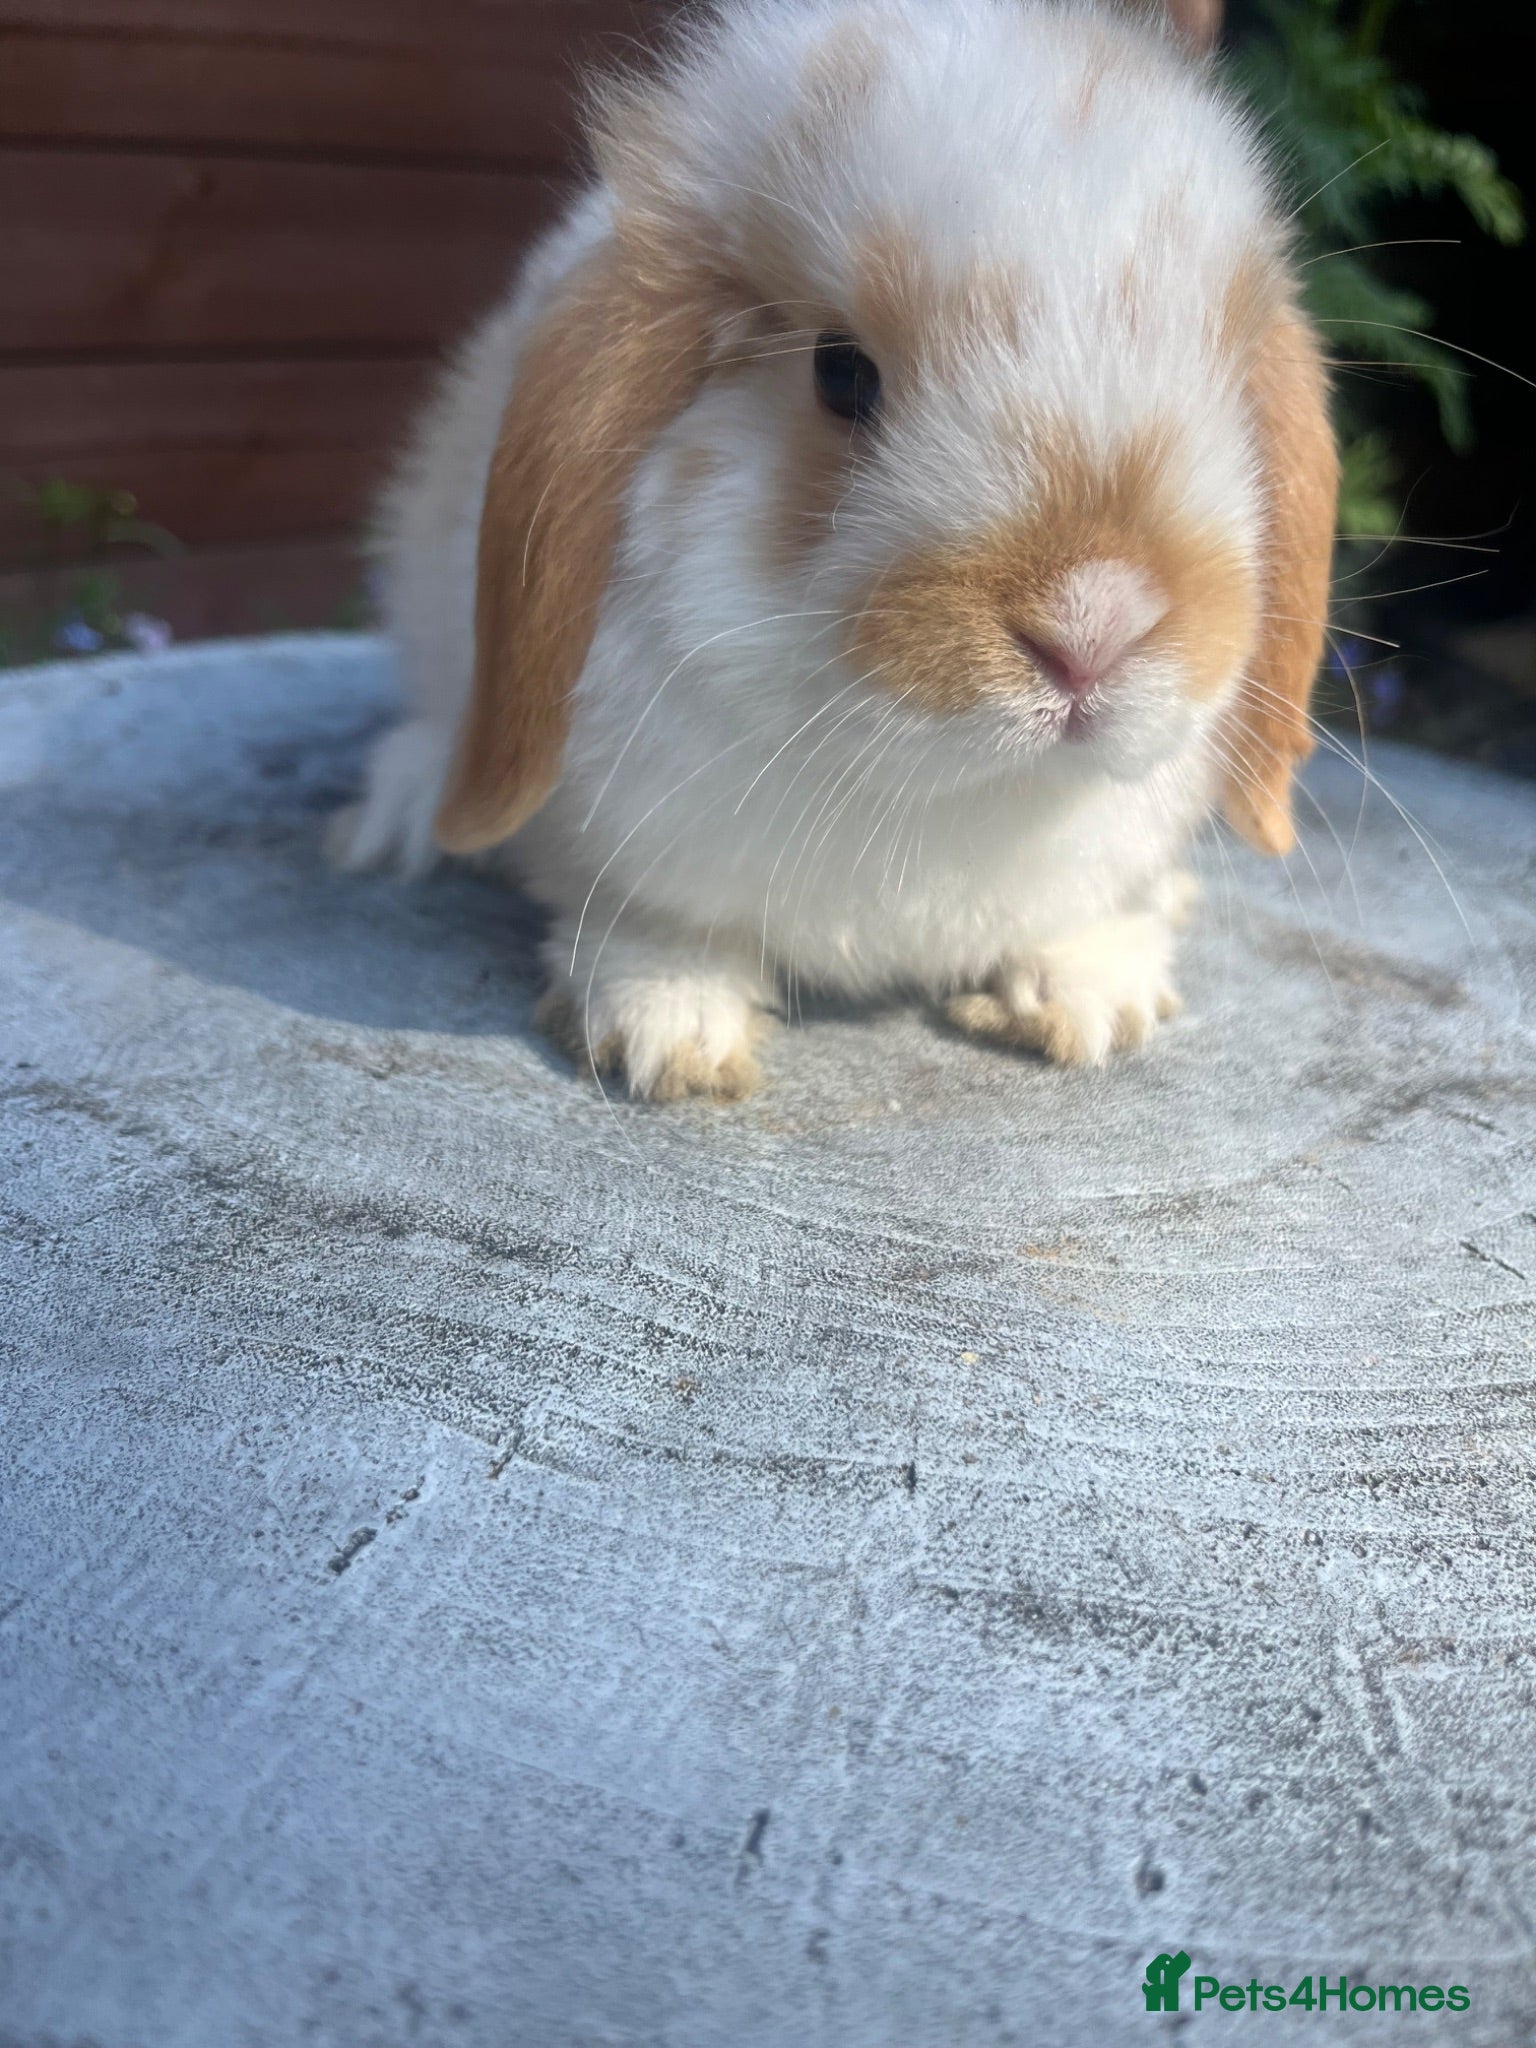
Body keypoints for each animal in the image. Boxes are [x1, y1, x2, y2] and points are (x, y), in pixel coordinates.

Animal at [331, 0, 1338, 1101]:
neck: (944, 797)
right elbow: (652, 923)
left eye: (1223, 381)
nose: (1092, 627)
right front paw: (667, 1031)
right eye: (842, 374)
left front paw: (1093, 996)